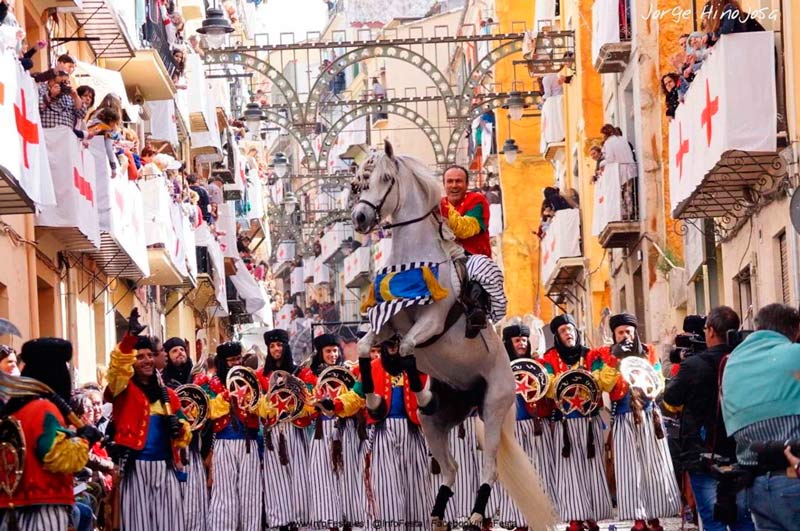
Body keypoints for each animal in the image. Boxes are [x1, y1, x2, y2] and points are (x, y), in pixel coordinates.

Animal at [350, 142, 556, 531]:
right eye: (361, 181)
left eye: (385, 178)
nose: (360, 218)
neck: (414, 263)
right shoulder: (387, 324)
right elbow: (365, 347)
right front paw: (375, 401)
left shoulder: (431, 322)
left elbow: (409, 347)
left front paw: (422, 392)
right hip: (436, 425)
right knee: (450, 468)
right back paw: (437, 515)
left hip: (493, 407)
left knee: (488, 468)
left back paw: (474, 515)